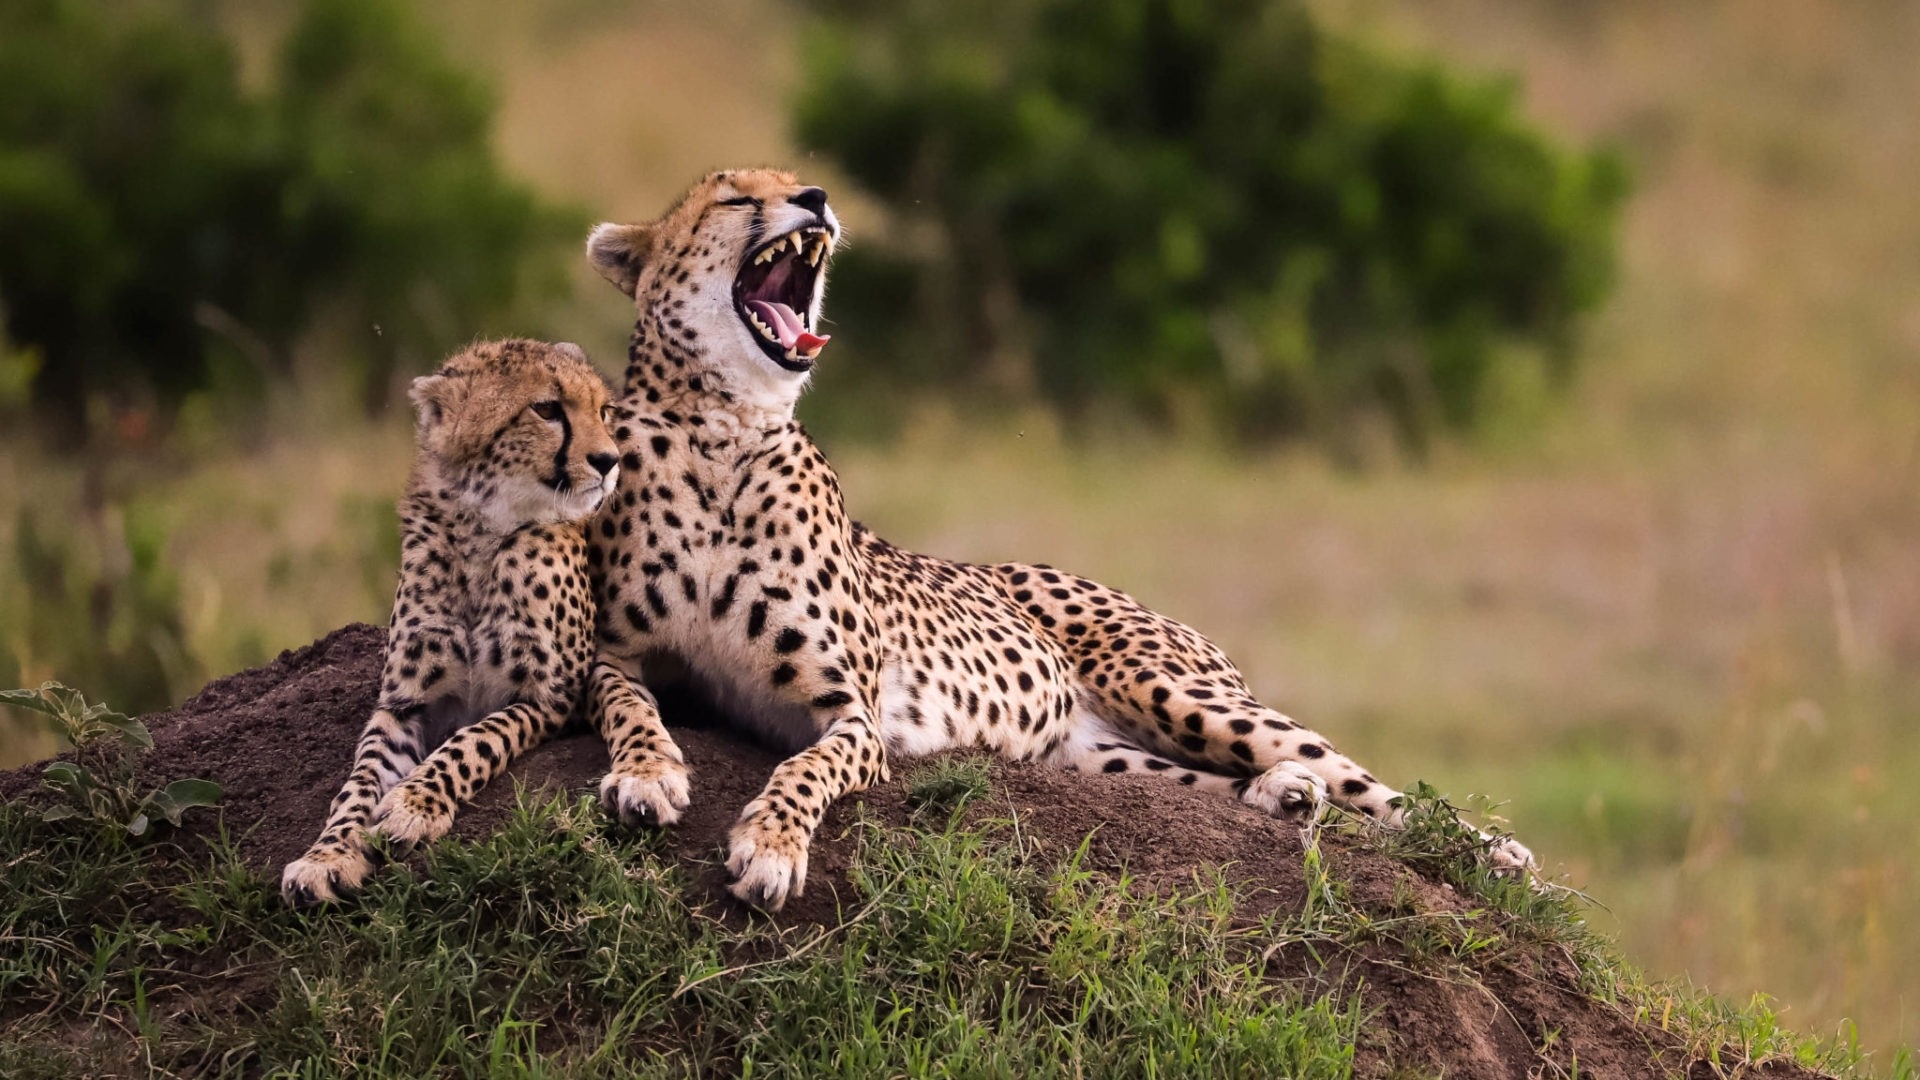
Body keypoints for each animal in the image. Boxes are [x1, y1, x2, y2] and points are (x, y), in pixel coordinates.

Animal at [583, 170, 1543, 907]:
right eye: (737, 196)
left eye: (794, 182)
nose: (816, 199)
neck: (724, 432)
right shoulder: (617, 653)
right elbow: (627, 707)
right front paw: (648, 776)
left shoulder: (851, 712)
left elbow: (803, 774)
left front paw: (773, 848)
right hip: (1096, 754)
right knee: (1222, 782)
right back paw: (1281, 796)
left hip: (1171, 688)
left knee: (1369, 785)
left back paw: (1503, 860)